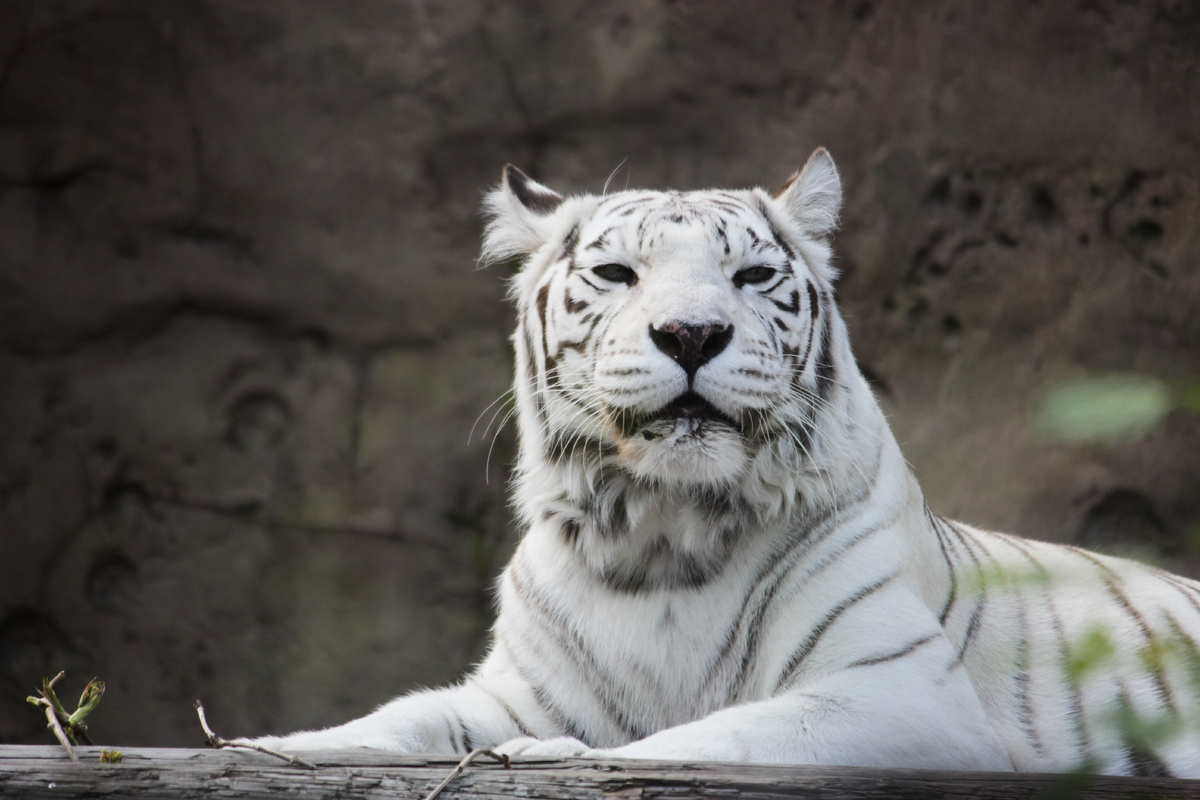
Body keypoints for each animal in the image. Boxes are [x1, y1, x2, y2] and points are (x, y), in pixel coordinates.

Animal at [258, 148, 1200, 777]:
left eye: (750, 276)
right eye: (616, 272)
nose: (691, 333)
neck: (659, 534)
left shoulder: (900, 694)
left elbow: (704, 734)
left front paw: (553, 757)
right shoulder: (514, 689)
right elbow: (401, 717)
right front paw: (270, 743)